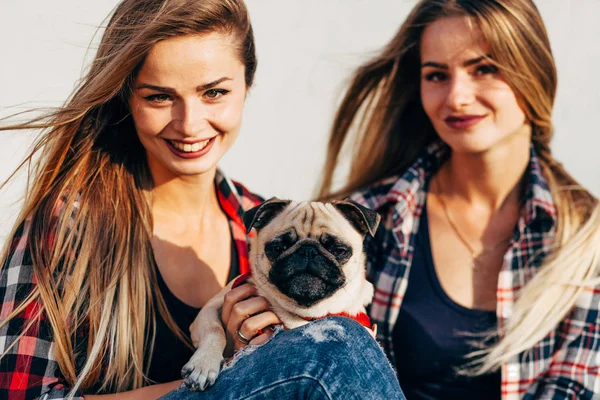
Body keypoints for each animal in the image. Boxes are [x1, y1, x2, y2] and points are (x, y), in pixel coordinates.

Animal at [182, 198, 380, 390]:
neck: (302, 313)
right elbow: (215, 331)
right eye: (277, 248)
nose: (308, 250)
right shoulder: (210, 309)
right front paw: (204, 364)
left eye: (339, 250)